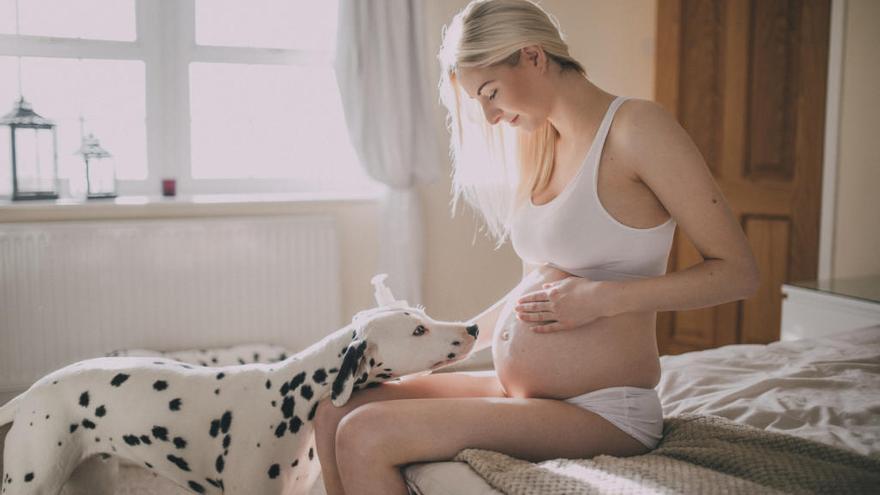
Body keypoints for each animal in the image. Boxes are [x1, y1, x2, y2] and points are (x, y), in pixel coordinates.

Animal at [1, 306, 482, 495]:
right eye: (417, 330)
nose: (474, 328)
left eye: (424, 315)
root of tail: (29, 394)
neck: (291, 398)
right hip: (30, 481)